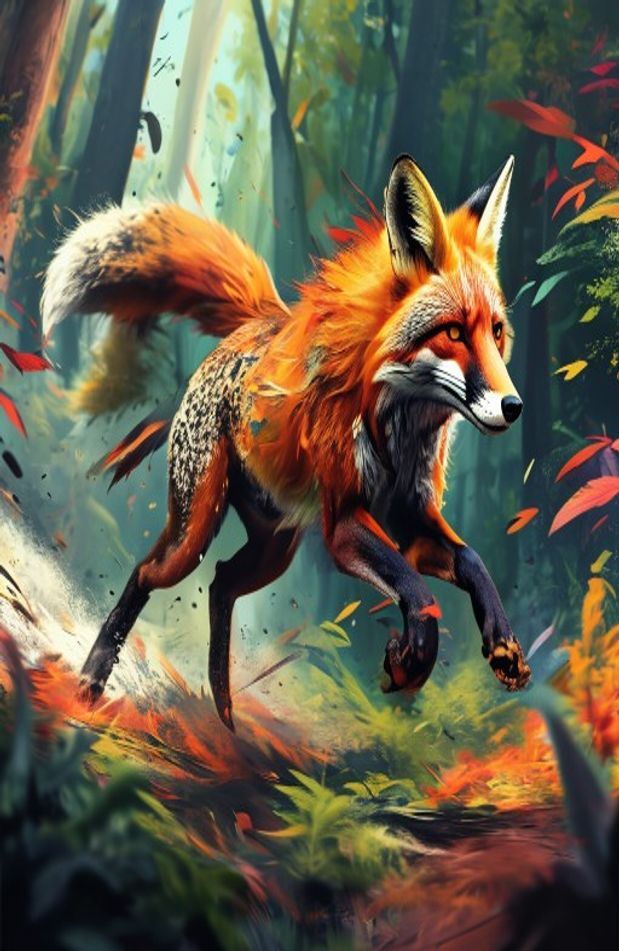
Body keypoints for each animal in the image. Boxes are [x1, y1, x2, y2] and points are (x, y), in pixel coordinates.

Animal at [41, 153, 531, 731]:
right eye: (454, 333)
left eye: (495, 332)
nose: (513, 406)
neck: (398, 431)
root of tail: (255, 324)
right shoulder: (343, 522)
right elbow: (417, 590)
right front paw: (411, 661)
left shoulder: (410, 515)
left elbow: (472, 561)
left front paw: (502, 644)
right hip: (195, 531)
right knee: (145, 572)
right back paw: (93, 679)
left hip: (273, 547)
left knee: (222, 582)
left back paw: (224, 711)